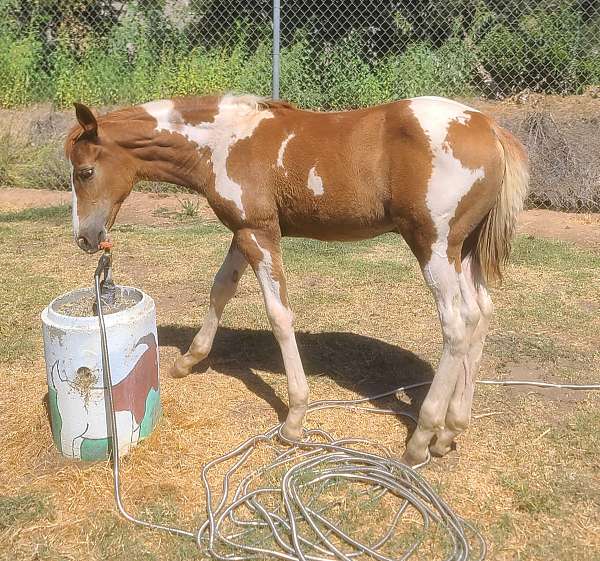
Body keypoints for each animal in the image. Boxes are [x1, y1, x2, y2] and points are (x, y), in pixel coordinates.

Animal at [65, 95, 524, 464]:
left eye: (85, 172)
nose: (85, 238)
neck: (223, 143)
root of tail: (490, 128)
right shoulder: (244, 231)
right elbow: (220, 289)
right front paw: (188, 361)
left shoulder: (260, 233)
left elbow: (279, 314)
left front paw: (294, 420)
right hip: (464, 250)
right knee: (481, 313)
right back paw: (450, 430)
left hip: (433, 244)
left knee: (456, 324)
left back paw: (421, 438)